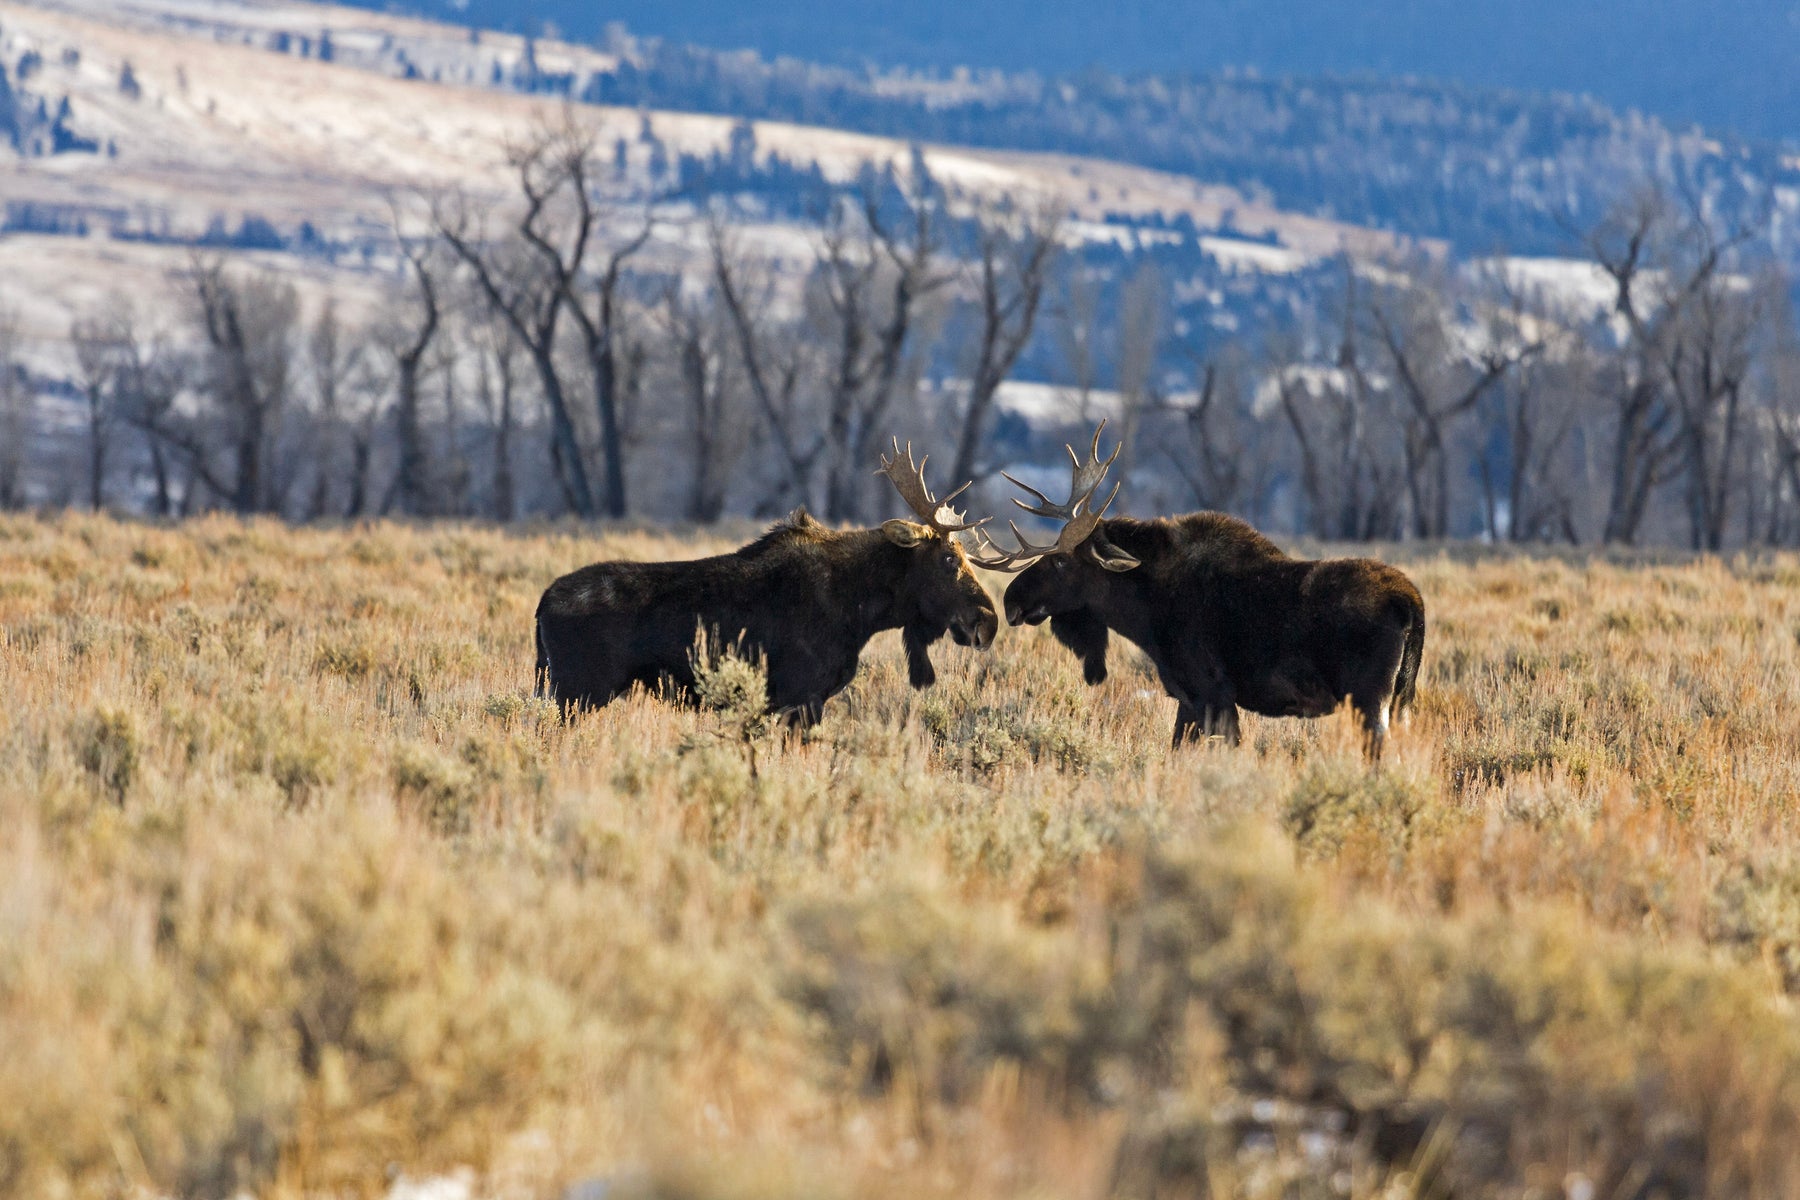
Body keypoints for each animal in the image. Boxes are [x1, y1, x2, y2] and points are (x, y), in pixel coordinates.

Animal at [532, 440, 1008, 723]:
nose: (988, 621)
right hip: (576, 690)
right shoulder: (801, 696)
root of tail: (540, 608)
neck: (863, 611)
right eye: (949, 559)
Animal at [979, 426, 1425, 755]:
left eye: (1059, 561)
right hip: (1399, 702)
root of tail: (1411, 603)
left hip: (1370, 701)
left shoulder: (1211, 695)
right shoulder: (1189, 700)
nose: (1011, 600)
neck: (1144, 615)